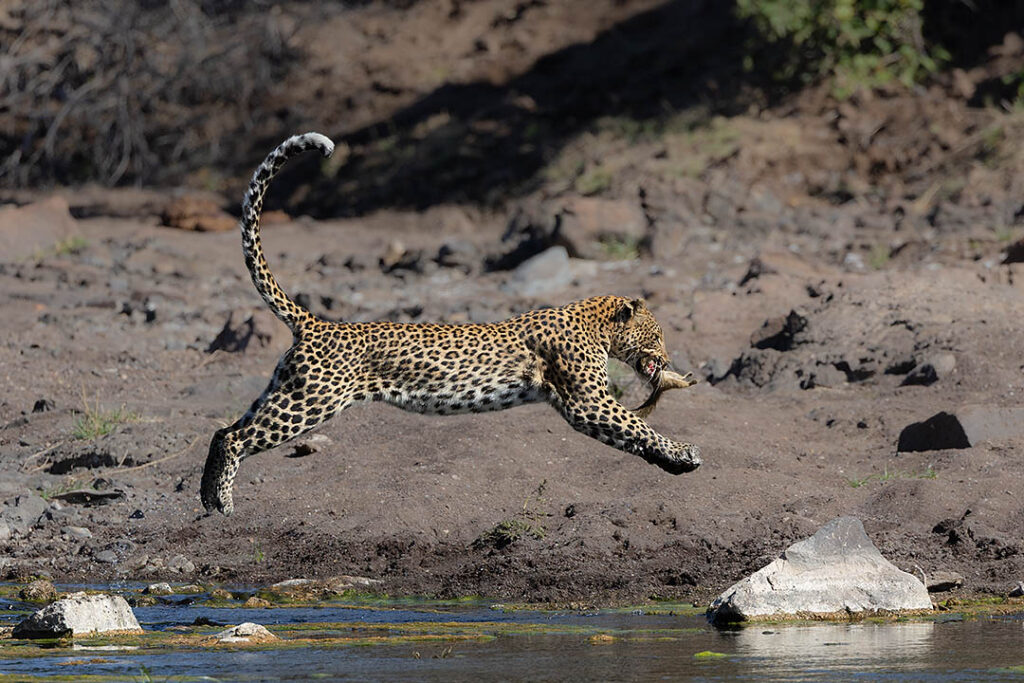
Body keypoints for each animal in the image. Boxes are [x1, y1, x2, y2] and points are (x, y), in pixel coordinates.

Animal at [200, 132, 702, 516]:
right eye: (658, 334)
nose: (667, 360)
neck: (594, 323)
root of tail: (317, 323)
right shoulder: (587, 401)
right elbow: (637, 425)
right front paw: (684, 451)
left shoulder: (580, 407)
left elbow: (630, 436)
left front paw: (673, 463)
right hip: (309, 402)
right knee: (236, 437)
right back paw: (223, 504)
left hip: (284, 388)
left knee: (222, 430)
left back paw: (207, 500)